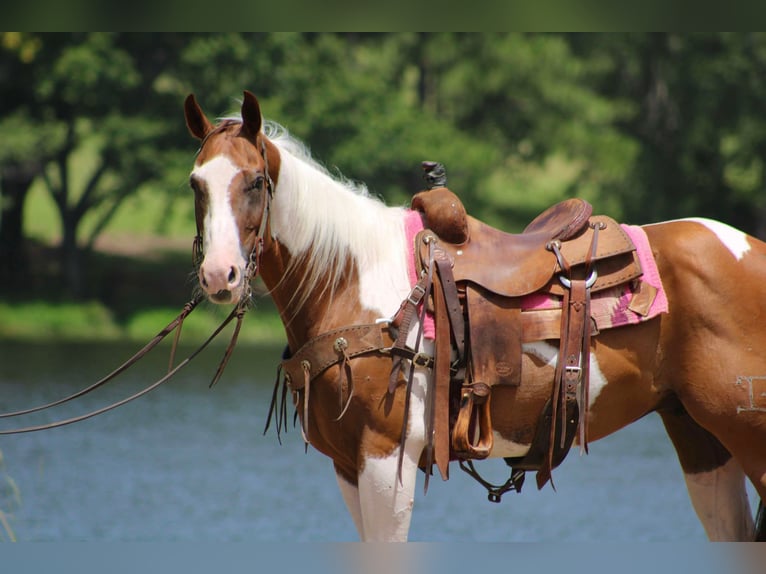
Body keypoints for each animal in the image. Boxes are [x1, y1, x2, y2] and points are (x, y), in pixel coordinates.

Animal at [183, 90, 766, 542]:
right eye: (195, 184)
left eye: (255, 181)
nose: (219, 275)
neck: (351, 279)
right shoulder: (347, 466)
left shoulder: (385, 460)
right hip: (700, 440)